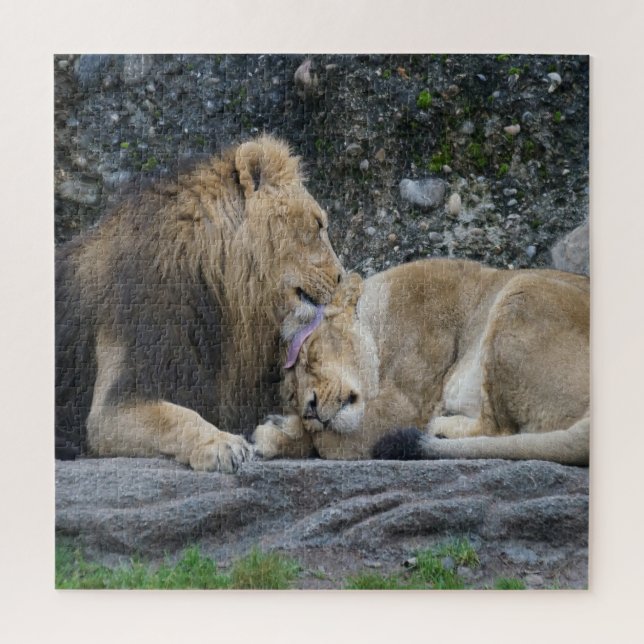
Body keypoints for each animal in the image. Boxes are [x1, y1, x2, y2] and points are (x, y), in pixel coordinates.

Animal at [55, 135, 343, 472]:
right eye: (318, 225)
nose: (341, 277)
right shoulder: (114, 404)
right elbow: (176, 417)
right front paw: (221, 444)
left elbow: (312, 430)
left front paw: (278, 432)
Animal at [253, 258, 589, 466]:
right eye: (292, 394)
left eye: (310, 356)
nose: (308, 410)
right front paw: (280, 432)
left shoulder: (406, 408)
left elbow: (328, 442)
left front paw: (280, 431)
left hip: (522, 290)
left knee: (500, 430)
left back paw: (439, 428)